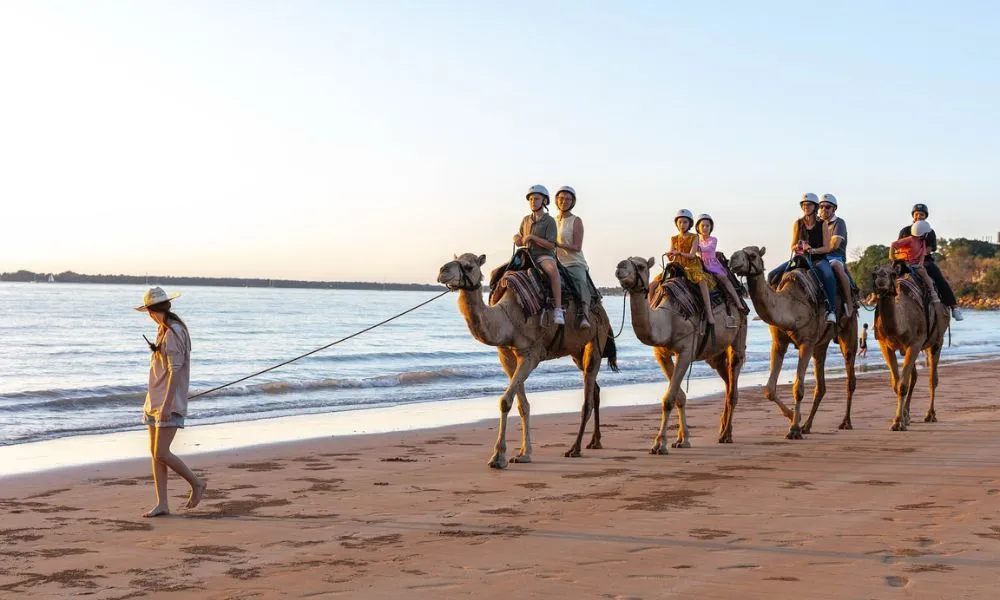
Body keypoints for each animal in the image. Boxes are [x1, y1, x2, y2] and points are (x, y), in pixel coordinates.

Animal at [436, 253, 618, 469]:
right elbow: (522, 405)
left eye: (469, 266)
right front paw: (523, 453)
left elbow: (505, 400)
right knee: (595, 390)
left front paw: (498, 457)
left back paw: (575, 449)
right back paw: (595, 441)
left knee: (587, 398)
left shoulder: (531, 354)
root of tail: (602, 311)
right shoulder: (506, 355)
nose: (442, 271)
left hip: (595, 341)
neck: (508, 318)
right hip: (576, 350)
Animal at [614, 257, 747, 454]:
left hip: (739, 330)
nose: (620, 267)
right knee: (728, 383)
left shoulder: (685, 351)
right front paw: (681, 439)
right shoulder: (661, 353)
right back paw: (724, 429)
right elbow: (679, 397)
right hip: (714, 354)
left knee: (734, 382)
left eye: (640, 266)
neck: (667, 320)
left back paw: (725, 435)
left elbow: (669, 399)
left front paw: (659, 444)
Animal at [729, 246, 858, 439]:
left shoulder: (807, 343)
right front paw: (793, 419)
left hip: (848, 327)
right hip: (820, 344)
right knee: (821, 386)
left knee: (850, 377)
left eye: (752, 255)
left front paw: (794, 429)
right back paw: (807, 425)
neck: (791, 306)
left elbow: (798, 388)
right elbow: (769, 389)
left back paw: (846, 422)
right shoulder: (779, 342)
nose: (731, 260)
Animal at [871, 264, 950, 430]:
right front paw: (900, 420)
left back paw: (930, 415)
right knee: (914, 377)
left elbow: (902, 385)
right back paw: (907, 416)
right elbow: (896, 384)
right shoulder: (885, 345)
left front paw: (897, 423)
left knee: (932, 378)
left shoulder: (915, 343)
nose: (881, 279)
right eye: (874, 274)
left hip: (937, 341)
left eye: (892, 274)